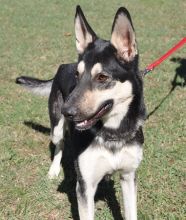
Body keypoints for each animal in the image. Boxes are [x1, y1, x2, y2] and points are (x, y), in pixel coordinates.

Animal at [16, 5, 145, 220]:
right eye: (77, 75)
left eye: (102, 77)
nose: (66, 111)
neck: (112, 132)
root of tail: (64, 65)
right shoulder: (85, 186)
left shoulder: (128, 177)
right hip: (56, 129)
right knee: (59, 145)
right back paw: (54, 170)